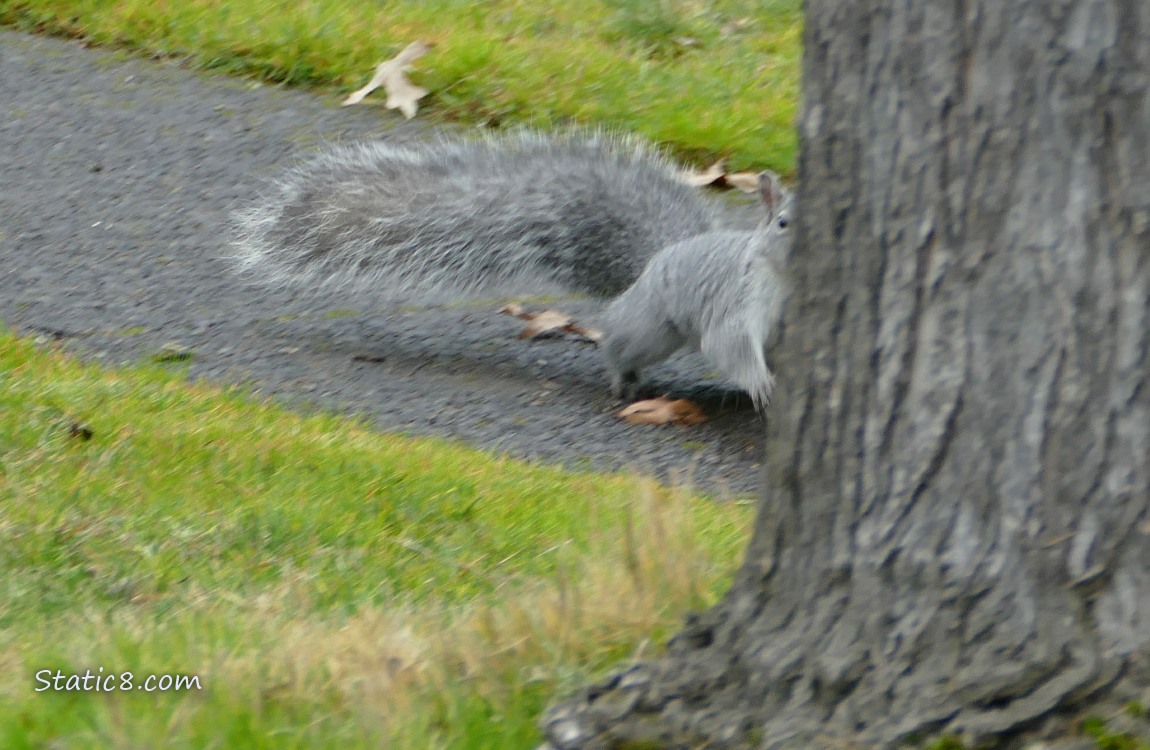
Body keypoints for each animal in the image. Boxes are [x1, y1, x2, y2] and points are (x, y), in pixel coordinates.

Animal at [231, 131, 793, 408]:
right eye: (784, 222)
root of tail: (658, 259)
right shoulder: (738, 300)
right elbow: (730, 343)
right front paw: (761, 382)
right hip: (653, 325)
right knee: (620, 342)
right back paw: (624, 378)